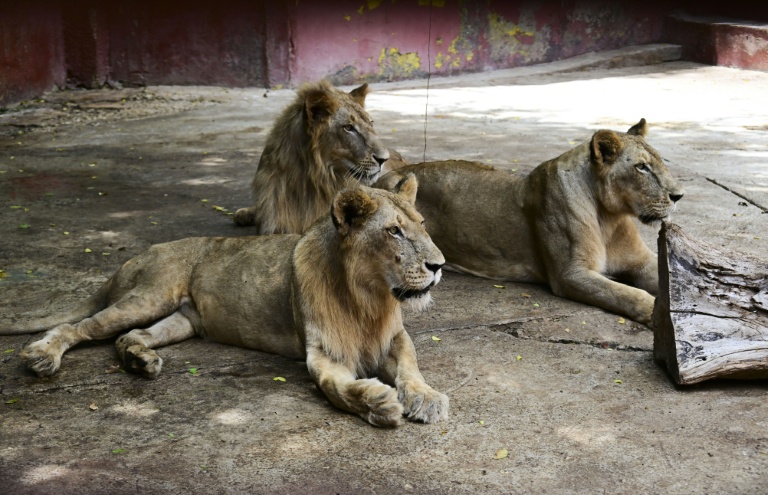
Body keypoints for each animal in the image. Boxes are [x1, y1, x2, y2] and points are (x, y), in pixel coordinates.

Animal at [2, 177, 448, 427]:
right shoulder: (321, 353)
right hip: (148, 296)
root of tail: (132, 258)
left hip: (180, 320)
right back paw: (42, 356)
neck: (368, 299)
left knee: (130, 336)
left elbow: (411, 367)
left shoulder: (395, 337)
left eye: (422, 225)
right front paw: (377, 402)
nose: (439, 265)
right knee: (77, 327)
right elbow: (336, 387)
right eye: (394, 231)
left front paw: (426, 398)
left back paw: (140, 361)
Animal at [375, 119, 684, 325]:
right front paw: (657, 315)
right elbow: (628, 294)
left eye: (660, 162)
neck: (609, 215)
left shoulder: (640, 261)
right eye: (641, 167)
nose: (678, 195)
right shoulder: (570, 275)